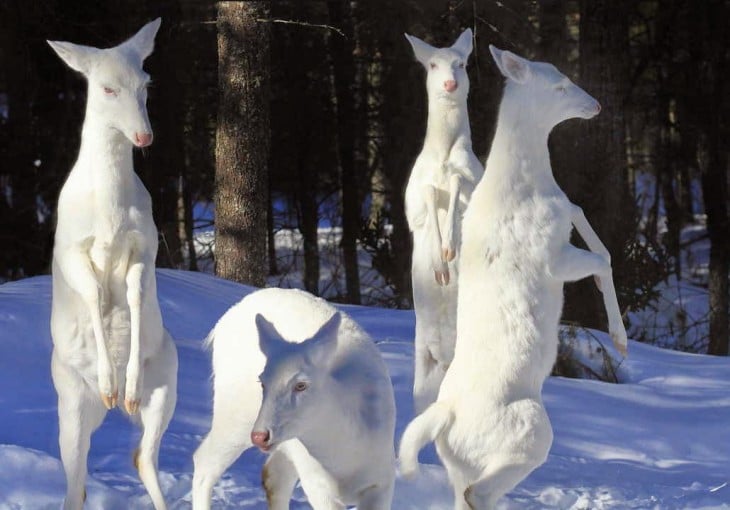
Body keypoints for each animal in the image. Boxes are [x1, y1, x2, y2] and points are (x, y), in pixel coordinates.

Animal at [47, 17, 178, 508]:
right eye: (106, 88)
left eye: (145, 82)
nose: (144, 136)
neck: (110, 212)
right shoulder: (70, 247)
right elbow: (91, 294)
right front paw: (109, 381)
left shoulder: (146, 244)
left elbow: (137, 293)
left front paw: (128, 385)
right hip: (68, 398)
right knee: (75, 477)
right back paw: (108, 394)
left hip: (170, 381)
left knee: (142, 456)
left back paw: (129, 399)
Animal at [188, 288, 392, 510]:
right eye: (262, 382)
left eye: (301, 385)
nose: (260, 436)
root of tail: (219, 326)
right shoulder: (315, 483)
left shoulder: (382, 480)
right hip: (234, 414)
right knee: (204, 462)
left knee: (273, 477)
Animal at [396, 45, 628, 508]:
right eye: (559, 85)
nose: (595, 104)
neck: (530, 184)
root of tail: (445, 419)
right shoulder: (553, 258)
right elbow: (603, 259)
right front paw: (620, 338)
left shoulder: (563, 217)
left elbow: (582, 215)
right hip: (530, 432)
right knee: (478, 491)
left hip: (461, 461)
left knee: (462, 490)